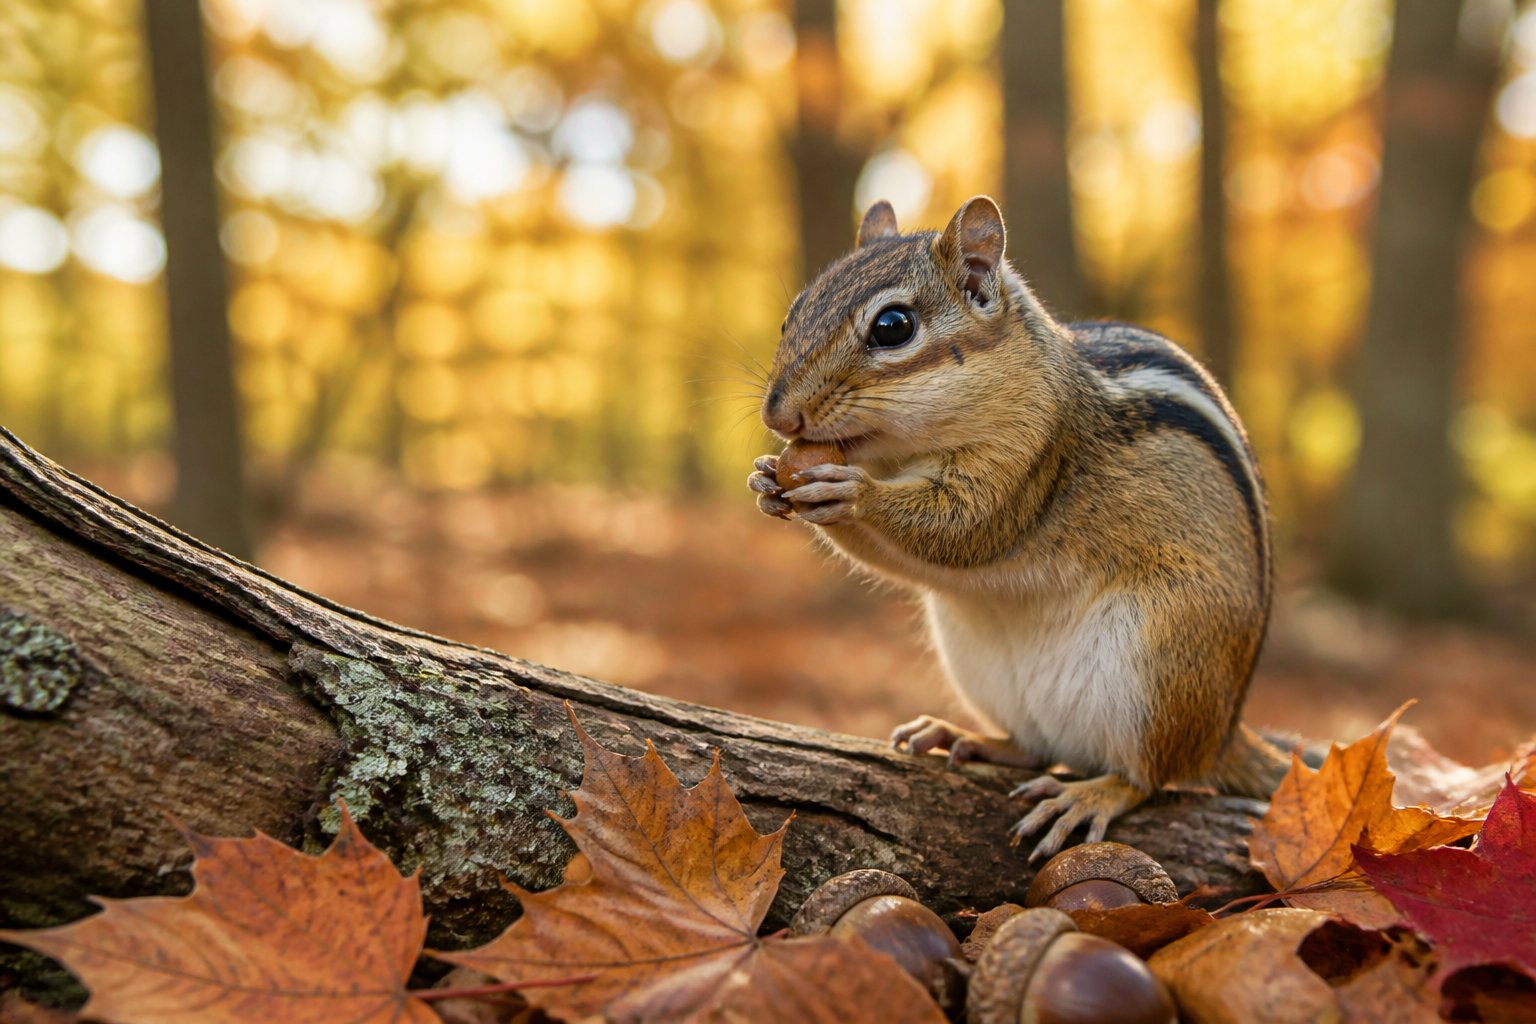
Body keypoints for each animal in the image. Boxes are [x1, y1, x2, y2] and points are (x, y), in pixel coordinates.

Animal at [747, 195, 1289, 860]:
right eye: (793, 312)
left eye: (893, 326)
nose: (778, 415)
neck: (905, 453)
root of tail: (1225, 732)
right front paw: (767, 479)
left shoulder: (1033, 455)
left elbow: (965, 528)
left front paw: (850, 492)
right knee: (1038, 748)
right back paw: (967, 737)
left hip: (1164, 661)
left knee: (1152, 775)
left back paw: (1092, 795)